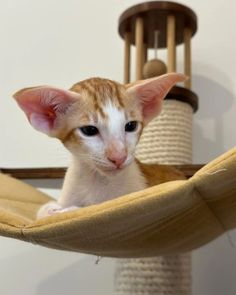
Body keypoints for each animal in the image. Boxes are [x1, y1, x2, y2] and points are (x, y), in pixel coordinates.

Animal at [13, 73, 185, 219]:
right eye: (89, 130)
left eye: (131, 126)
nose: (119, 157)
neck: (99, 182)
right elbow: (43, 212)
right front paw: (53, 209)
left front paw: (68, 210)